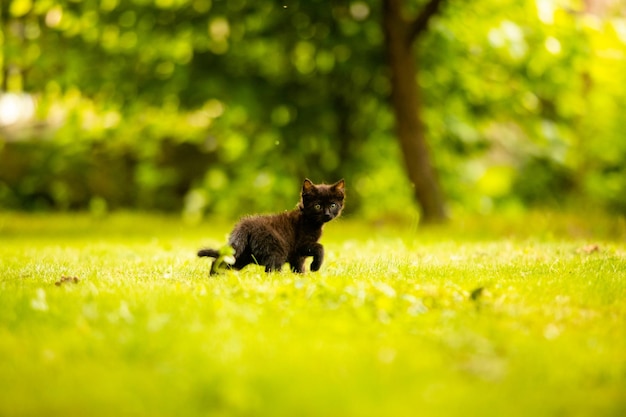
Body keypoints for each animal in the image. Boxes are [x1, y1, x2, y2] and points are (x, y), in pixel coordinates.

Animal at [197, 178, 344, 272]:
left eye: (333, 205)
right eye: (318, 206)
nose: (327, 214)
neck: (308, 219)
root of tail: (245, 224)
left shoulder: (297, 256)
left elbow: (298, 267)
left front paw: (301, 277)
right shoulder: (301, 245)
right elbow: (320, 247)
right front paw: (314, 267)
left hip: (242, 255)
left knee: (220, 261)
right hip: (276, 250)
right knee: (270, 269)